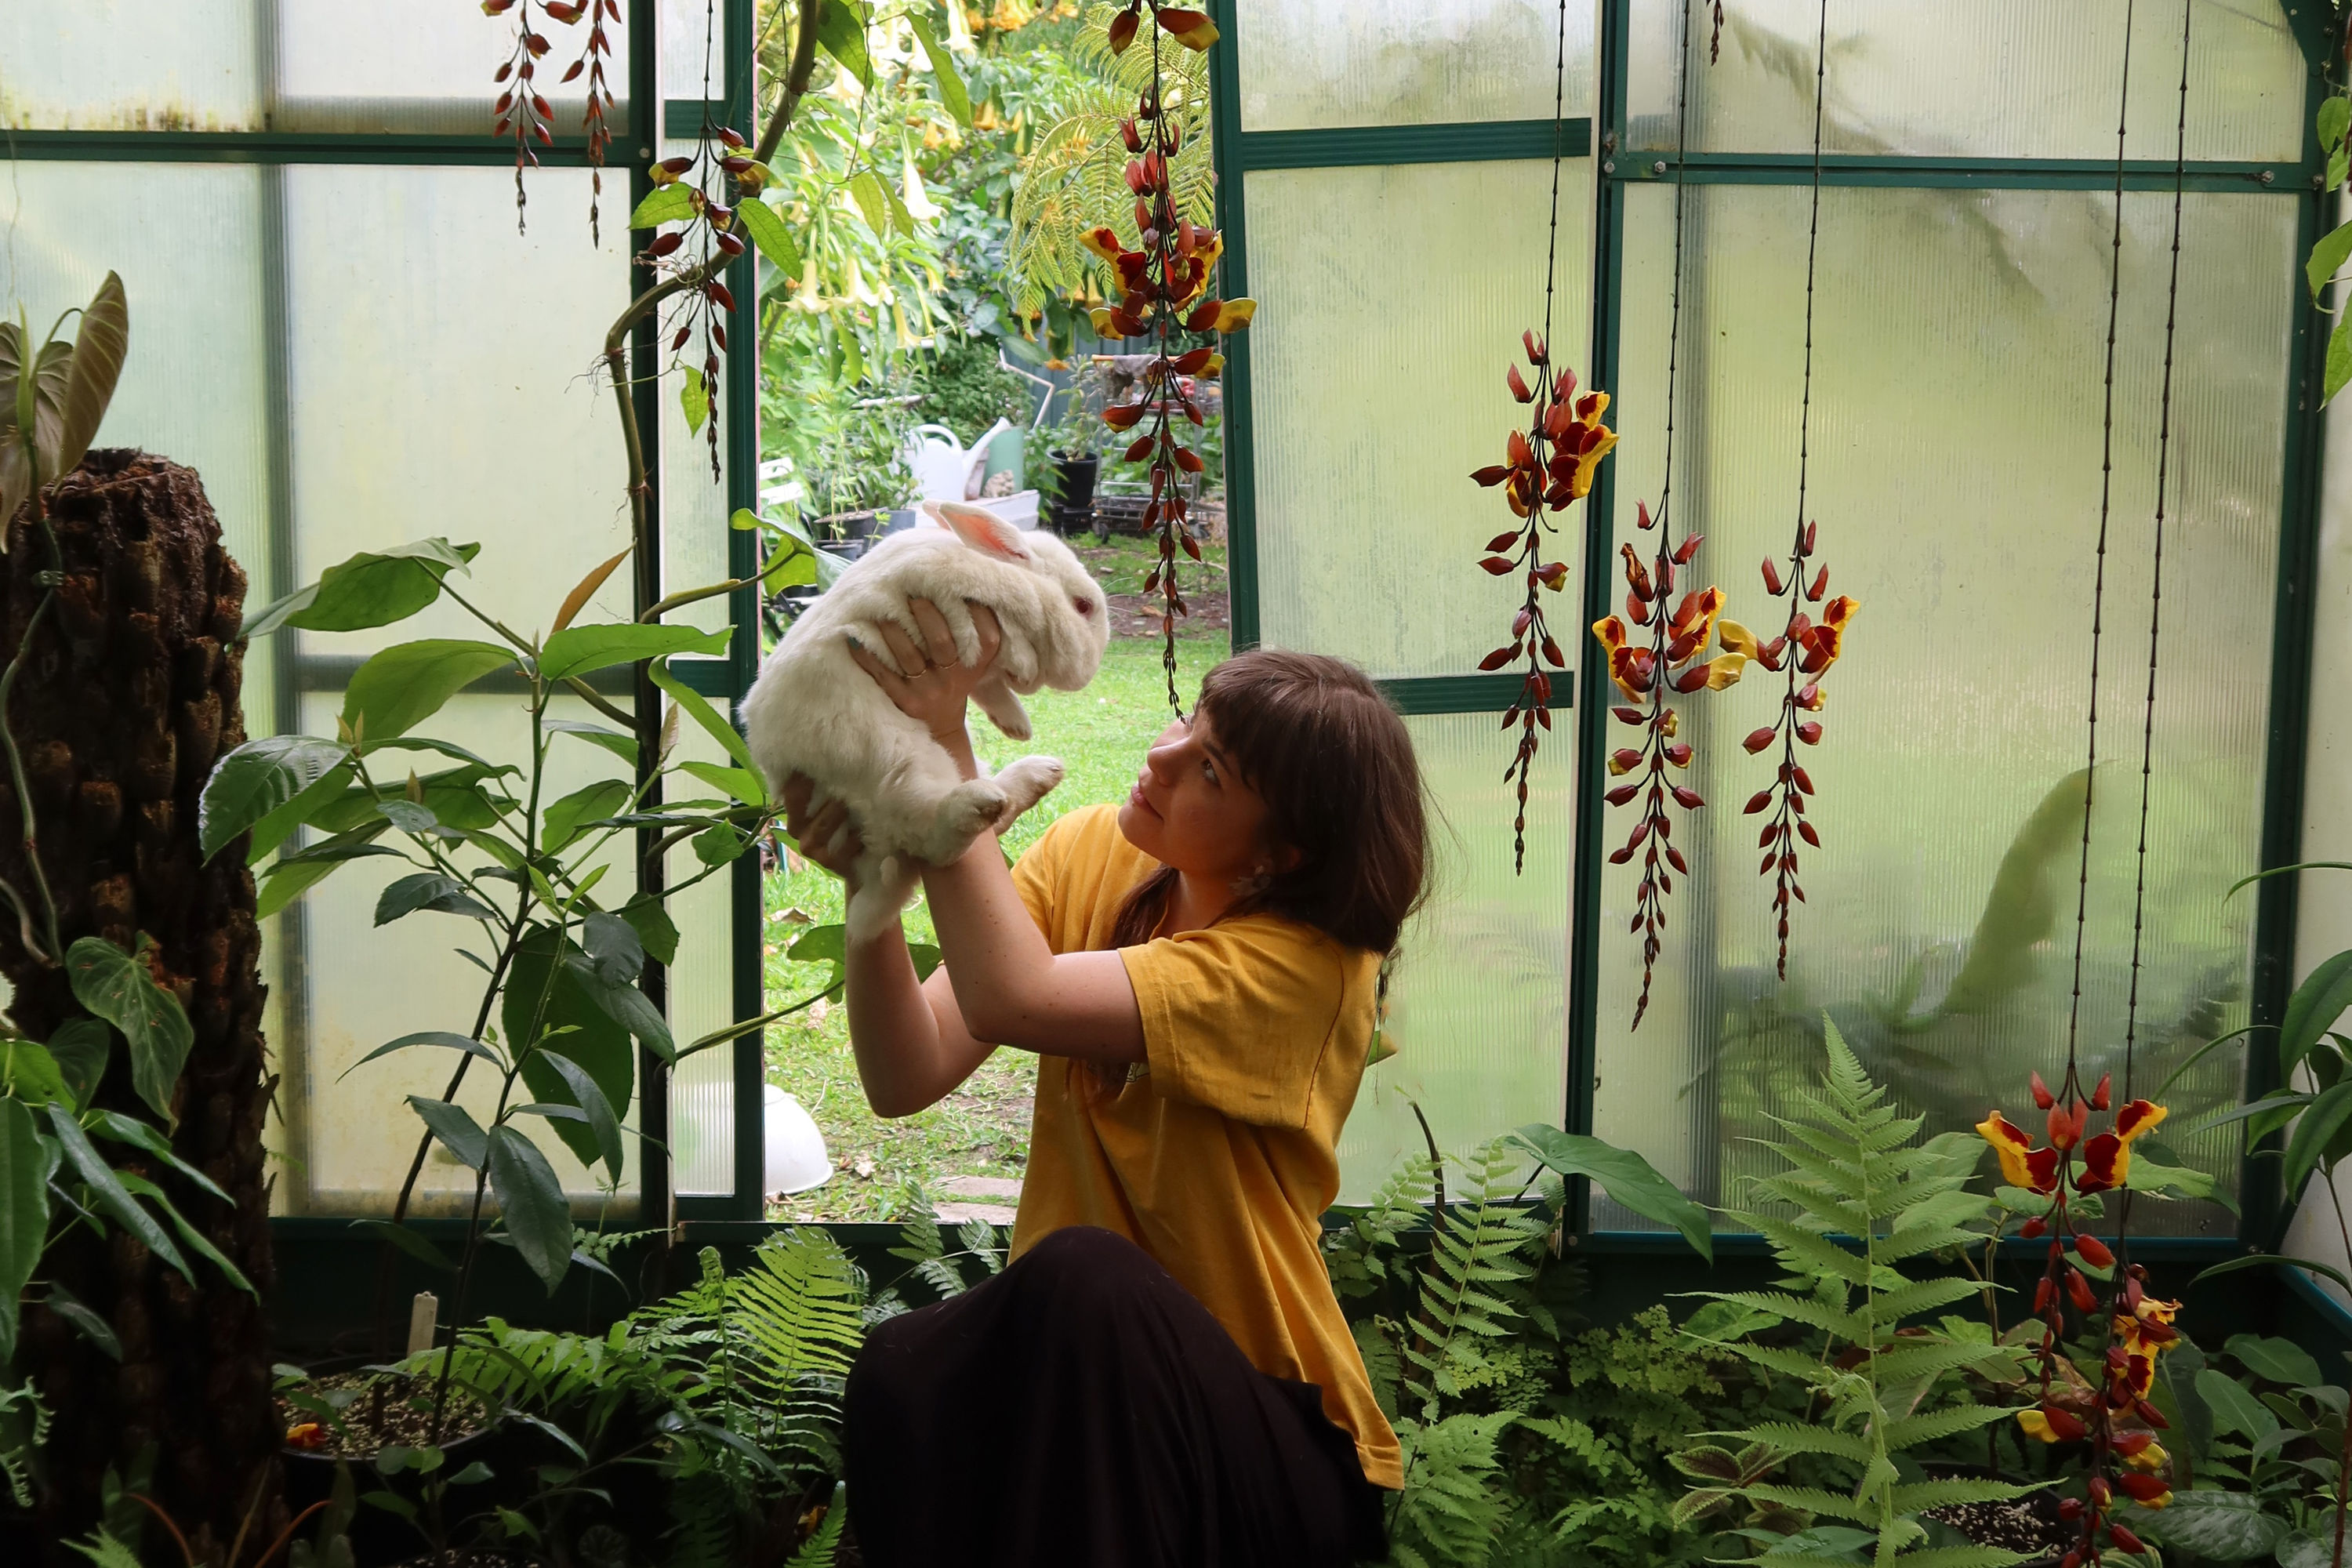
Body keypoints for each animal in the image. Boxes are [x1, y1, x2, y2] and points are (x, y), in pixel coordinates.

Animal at [739, 500, 1112, 942]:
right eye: (1083, 606)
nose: (1087, 673)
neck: (1013, 576)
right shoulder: (949, 598)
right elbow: (999, 656)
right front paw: (1022, 670)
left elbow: (989, 686)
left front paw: (1017, 724)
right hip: (894, 756)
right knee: (928, 838)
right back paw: (979, 803)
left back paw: (1039, 773)